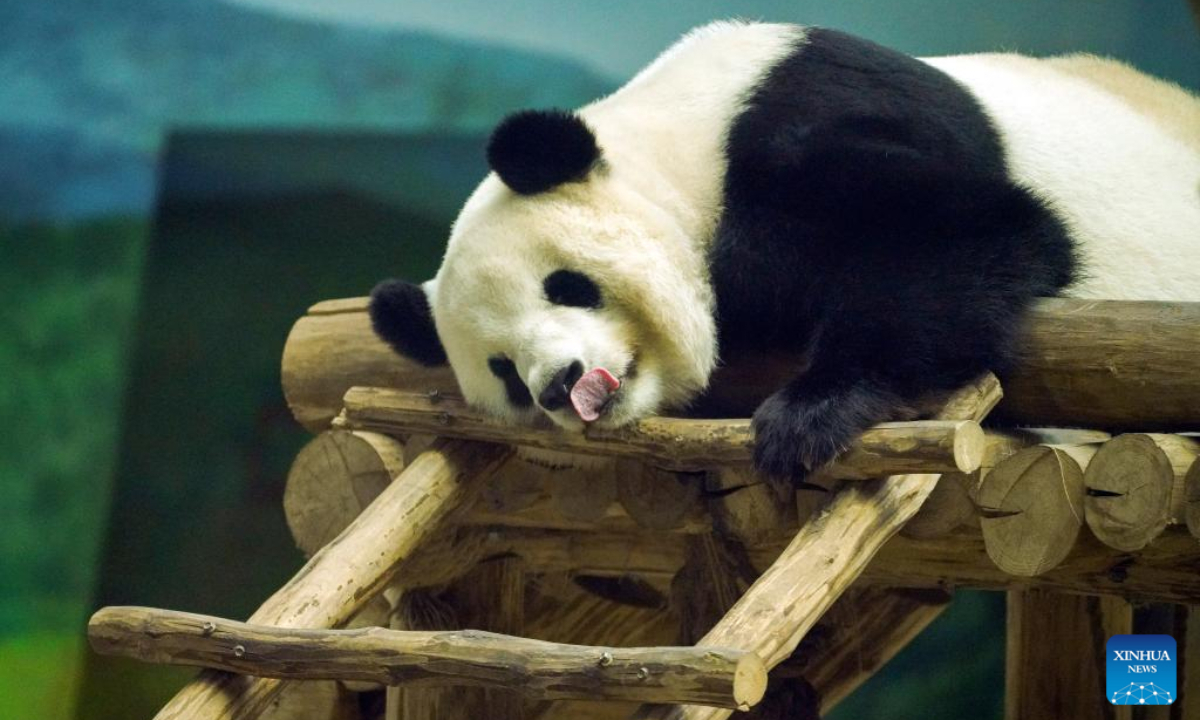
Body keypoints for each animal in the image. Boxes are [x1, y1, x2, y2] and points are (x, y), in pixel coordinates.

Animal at [369, 21, 1200, 485]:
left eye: (567, 286)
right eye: (504, 372)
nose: (560, 385)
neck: (675, 147)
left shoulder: (798, 122)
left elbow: (972, 230)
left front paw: (809, 416)